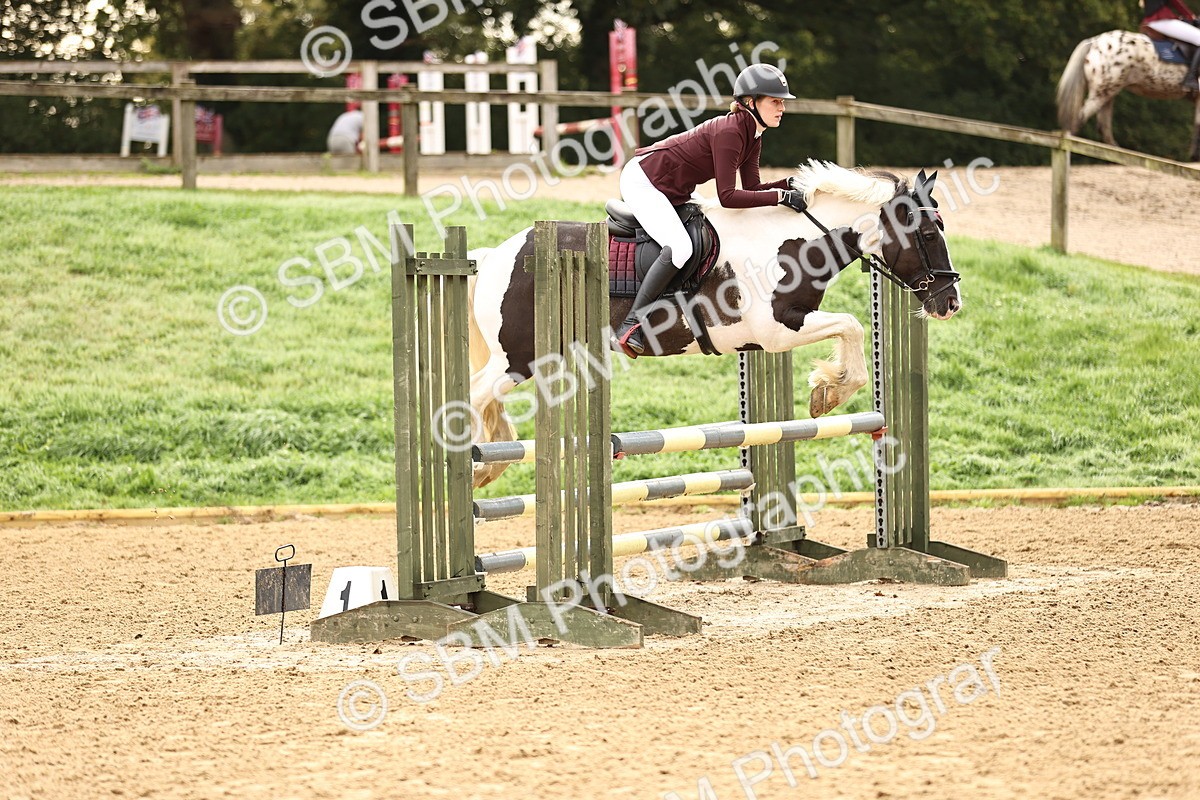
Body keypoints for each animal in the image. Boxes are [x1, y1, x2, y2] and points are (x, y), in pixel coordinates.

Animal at [465, 162, 961, 488]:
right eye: (928, 233)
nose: (950, 302)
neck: (789, 243)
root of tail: (495, 256)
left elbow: (851, 328)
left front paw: (827, 389)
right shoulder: (776, 330)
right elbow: (853, 324)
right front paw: (829, 392)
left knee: (486, 399)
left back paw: (490, 465)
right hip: (519, 356)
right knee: (474, 394)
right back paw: (473, 464)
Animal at [1056, 30, 1200, 161]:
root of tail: (1094, 42)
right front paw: (1195, 157)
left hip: (1108, 93)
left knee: (1103, 126)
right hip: (1102, 93)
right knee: (1079, 120)